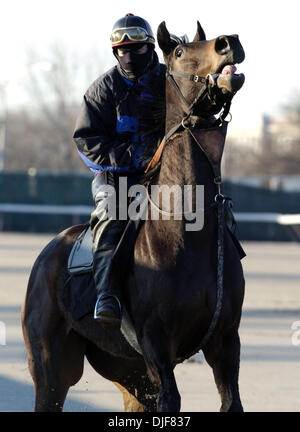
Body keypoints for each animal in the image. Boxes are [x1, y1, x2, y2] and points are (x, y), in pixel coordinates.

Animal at [21, 20, 246, 412]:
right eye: (180, 52)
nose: (228, 42)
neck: (186, 228)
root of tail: (49, 252)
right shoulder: (156, 344)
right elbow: (171, 398)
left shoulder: (225, 340)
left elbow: (231, 401)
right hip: (51, 366)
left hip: (127, 371)